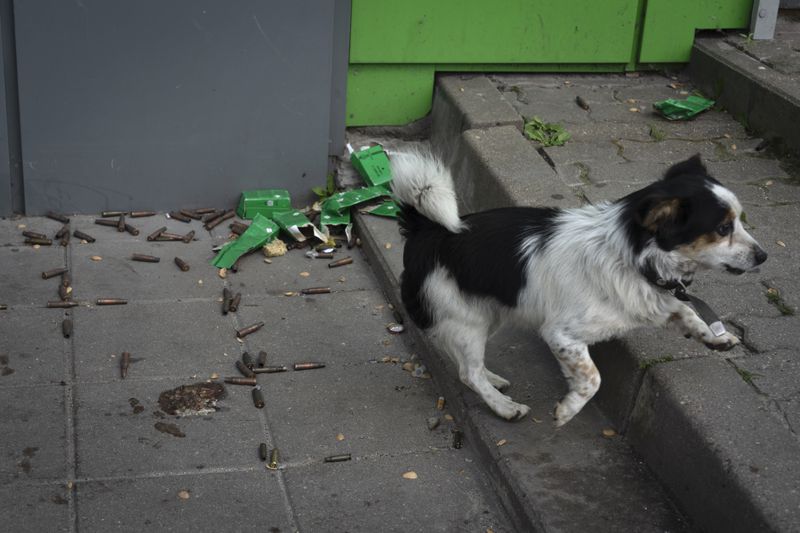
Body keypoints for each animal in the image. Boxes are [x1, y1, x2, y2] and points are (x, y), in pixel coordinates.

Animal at [394, 152, 768, 426]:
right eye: (723, 228)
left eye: (738, 221)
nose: (763, 256)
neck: (630, 257)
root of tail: (426, 229)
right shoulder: (561, 334)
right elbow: (592, 379)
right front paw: (569, 409)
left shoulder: (655, 299)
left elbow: (686, 311)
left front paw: (716, 336)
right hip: (467, 319)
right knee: (467, 372)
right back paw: (503, 406)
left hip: (490, 312)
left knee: (465, 365)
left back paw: (495, 380)